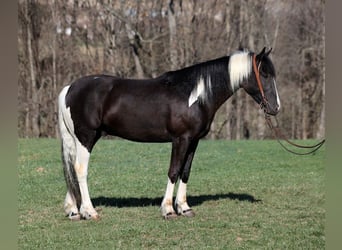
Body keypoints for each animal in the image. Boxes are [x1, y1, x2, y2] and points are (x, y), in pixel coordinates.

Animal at [57, 47, 280, 221]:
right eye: (264, 74)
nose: (275, 108)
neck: (194, 94)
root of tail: (69, 88)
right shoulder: (180, 139)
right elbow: (173, 171)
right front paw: (168, 210)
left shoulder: (193, 141)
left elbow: (185, 172)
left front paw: (184, 208)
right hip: (86, 138)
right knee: (80, 170)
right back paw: (89, 211)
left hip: (77, 139)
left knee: (70, 169)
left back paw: (73, 211)